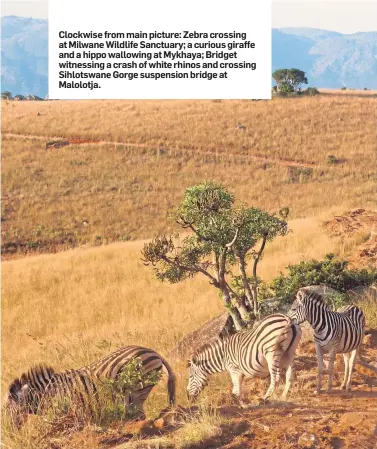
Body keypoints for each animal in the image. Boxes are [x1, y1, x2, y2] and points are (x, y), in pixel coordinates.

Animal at [4, 344, 175, 426]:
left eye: (6, 409)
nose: (10, 431)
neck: (47, 392)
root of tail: (153, 351)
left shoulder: (69, 411)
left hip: (138, 390)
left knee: (140, 414)